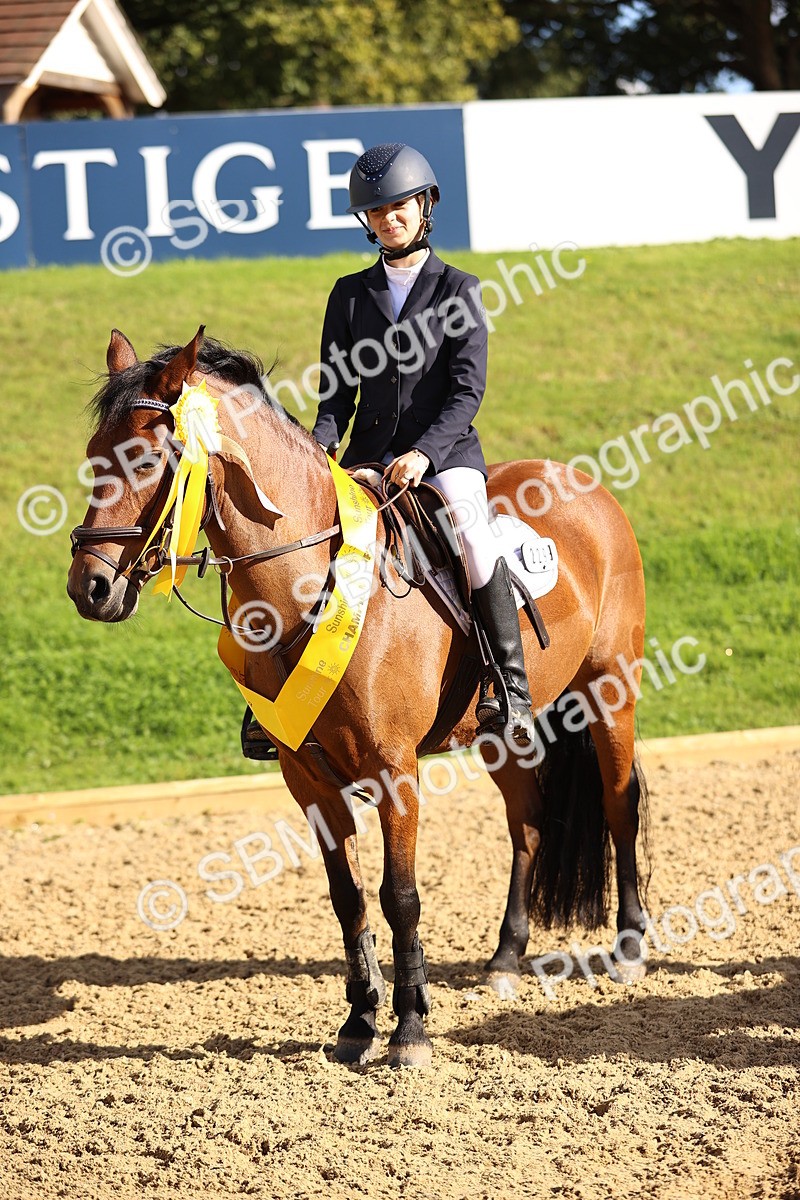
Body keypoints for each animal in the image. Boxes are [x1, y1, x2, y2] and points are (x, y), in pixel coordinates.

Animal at [67, 327, 650, 1068]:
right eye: (93, 456)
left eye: (145, 458)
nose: (89, 589)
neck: (305, 584)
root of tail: (586, 486)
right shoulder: (306, 775)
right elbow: (346, 898)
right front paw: (358, 1021)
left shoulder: (395, 772)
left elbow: (399, 895)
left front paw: (410, 1029)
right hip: (500, 734)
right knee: (528, 824)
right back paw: (505, 959)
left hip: (611, 691)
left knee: (618, 804)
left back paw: (628, 948)